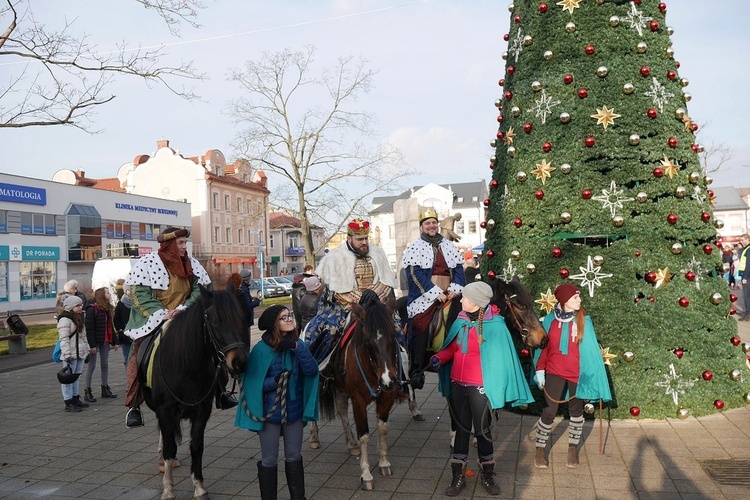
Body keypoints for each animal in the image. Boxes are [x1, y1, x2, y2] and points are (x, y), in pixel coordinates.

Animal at [140, 286, 247, 500]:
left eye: (240, 317)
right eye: (215, 320)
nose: (239, 362)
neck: (186, 366)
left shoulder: (202, 411)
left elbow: (197, 446)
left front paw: (199, 487)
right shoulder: (165, 411)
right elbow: (170, 447)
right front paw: (168, 490)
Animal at [312, 294, 406, 490]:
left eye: (393, 335)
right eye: (367, 340)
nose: (388, 380)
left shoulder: (387, 396)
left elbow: (383, 428)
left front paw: (384, 463)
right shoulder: (358, 400)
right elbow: (364, 435)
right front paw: (366, 475)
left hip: (340, 387)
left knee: (341, 410)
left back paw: (351, 444)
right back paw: (314, 438)